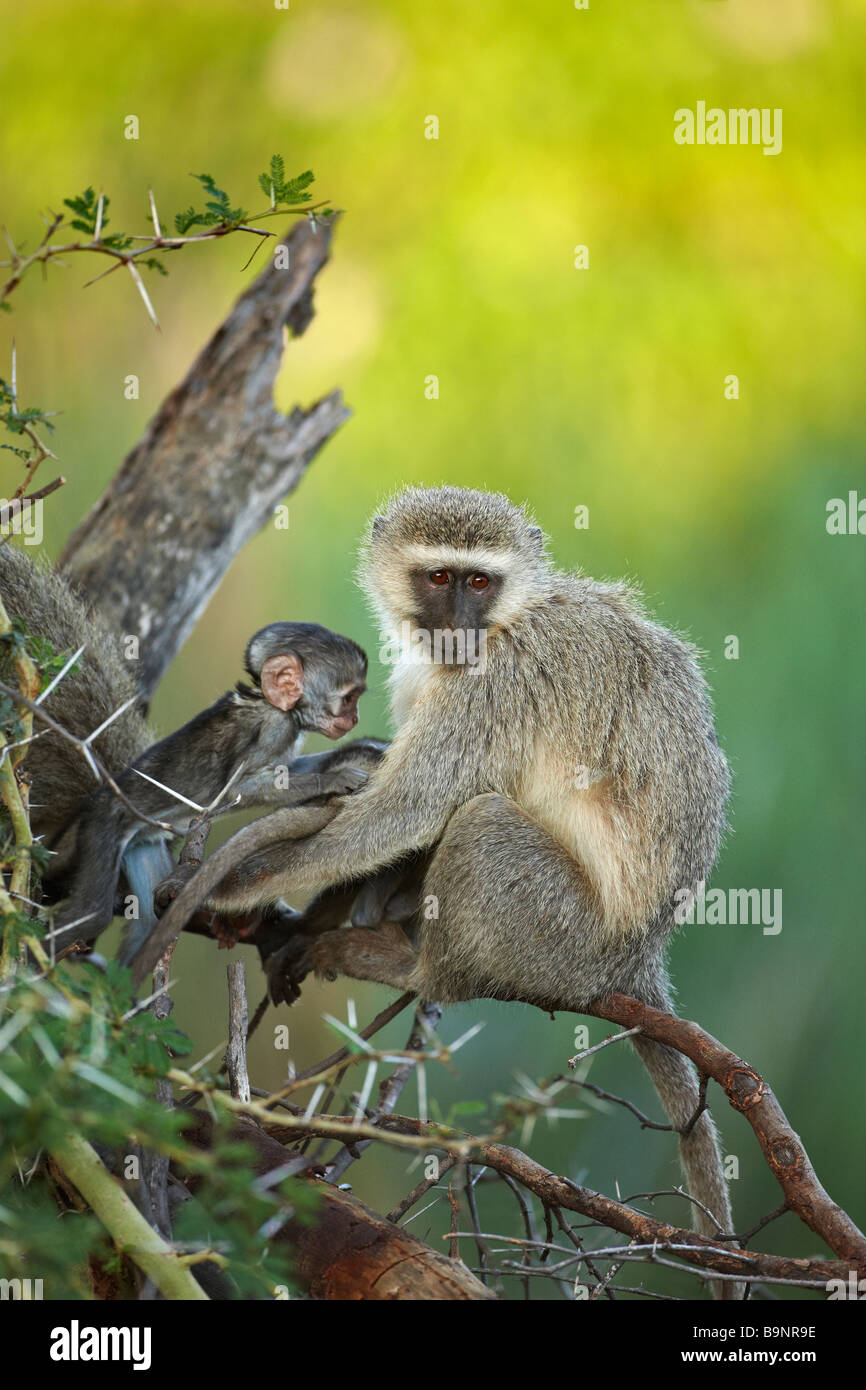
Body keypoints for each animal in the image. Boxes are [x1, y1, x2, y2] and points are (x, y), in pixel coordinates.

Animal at [0, 544, 383, 967]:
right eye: (349, 698)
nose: (354, 718)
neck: (272, 705)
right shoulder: (271, 729)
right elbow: (242, 787)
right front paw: (335, 779)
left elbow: (287, 769)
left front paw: (354, 753)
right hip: (103, 823)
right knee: (91, 912)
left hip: (141, 844)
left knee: (147, 917)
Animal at [135, 486, 739, 1289]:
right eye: (439, 578)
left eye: (479, 582)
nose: (456, 622)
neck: (508, 621)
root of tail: (638, 958)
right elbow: (395, 813)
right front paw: (283, 912)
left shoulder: (495, 681)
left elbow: (409, 809)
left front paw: (237, 888)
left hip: (565, 935)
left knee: (477, 823)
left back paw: (407, 964)